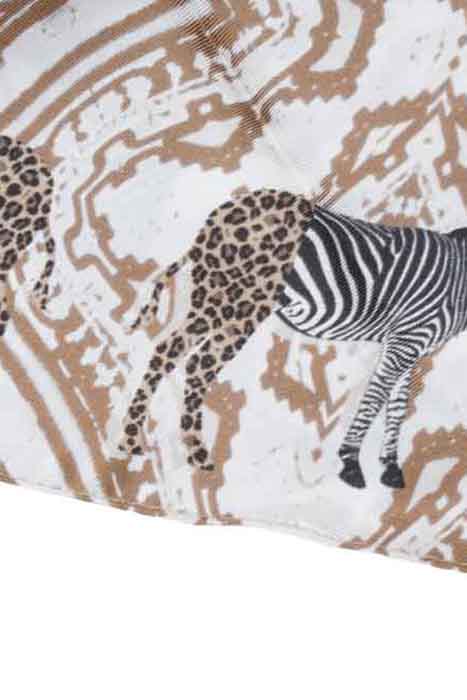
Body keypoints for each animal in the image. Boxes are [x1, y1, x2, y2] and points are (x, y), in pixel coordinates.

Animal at [278, 205, 466, 489]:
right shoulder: (407, 340)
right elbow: (376, 396)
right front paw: (350, 461)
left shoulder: (410, 347)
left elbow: (398, 404)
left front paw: (390, 466)